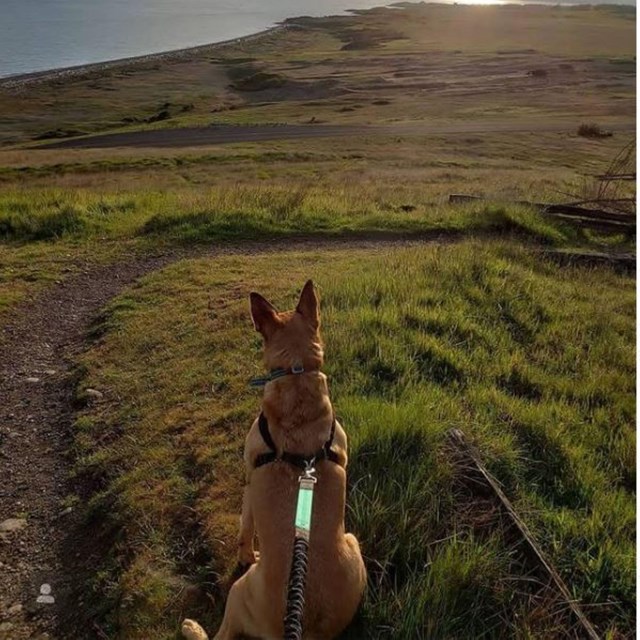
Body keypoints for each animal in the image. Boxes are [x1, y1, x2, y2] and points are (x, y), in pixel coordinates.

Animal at [182, 282, 368, 640]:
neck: (297, 377)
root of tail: (306, 628)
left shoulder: (249, 482)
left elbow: (245, 527)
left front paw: (245, 553)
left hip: (239, 593)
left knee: (221, 634)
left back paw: (191, 627)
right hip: (354, 544)